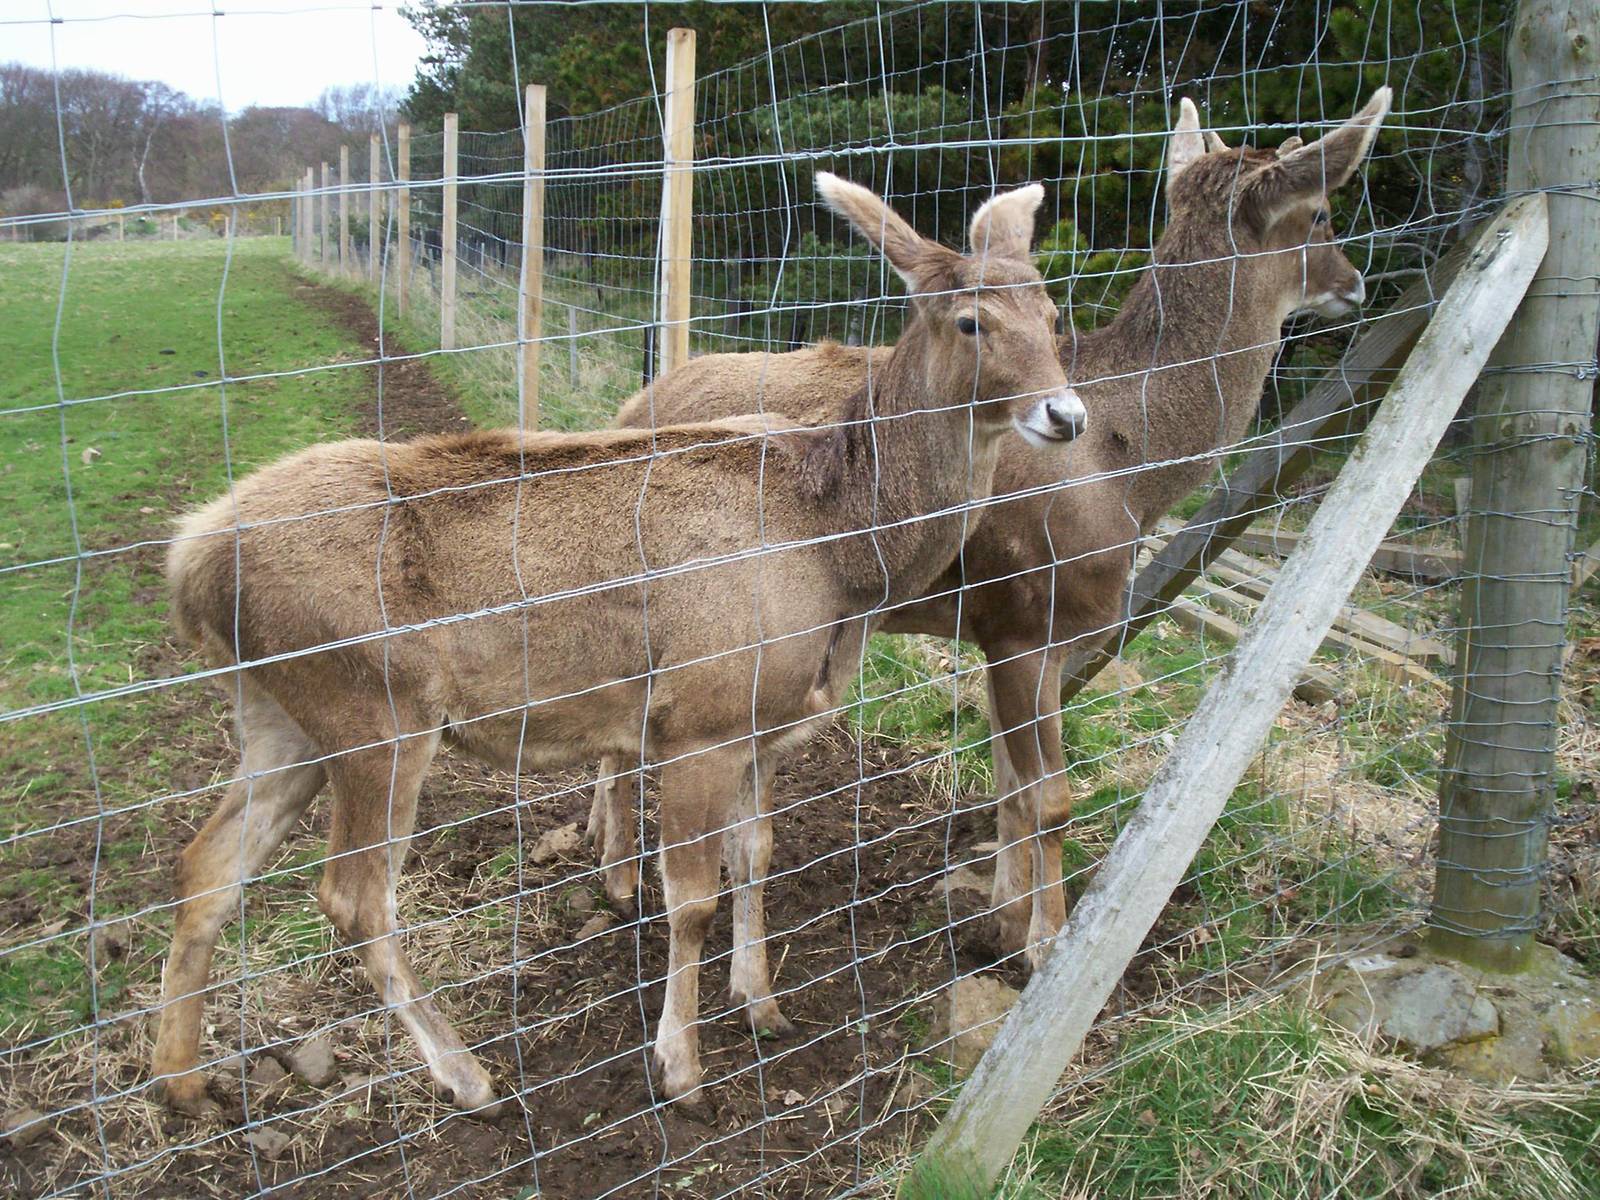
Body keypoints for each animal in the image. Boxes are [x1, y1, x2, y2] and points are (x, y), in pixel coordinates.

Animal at [150, 173, 1084, 1116]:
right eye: (970, 321)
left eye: (1052, 314)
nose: (1067, 414)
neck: (836, 555)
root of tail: (189, 560)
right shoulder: (700, 715)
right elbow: (692, 899)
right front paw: (681, 1068)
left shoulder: (759, 725)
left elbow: (757, 856)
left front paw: (762, 1003)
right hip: (372, 715)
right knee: (353, 898)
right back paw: (469, 1076)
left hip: (282, 714)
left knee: (207, 867)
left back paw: (182, 1079)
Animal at [588, 90, 1392, 974]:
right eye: (1322, 212)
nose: (1357, 283)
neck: (1126, 472)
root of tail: (635, 403)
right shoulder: (1026, 624)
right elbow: (1049, 797)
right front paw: (1042, 942)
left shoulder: (1022, 631)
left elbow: (1008, 784)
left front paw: (1000, 917)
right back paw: (618, 876)